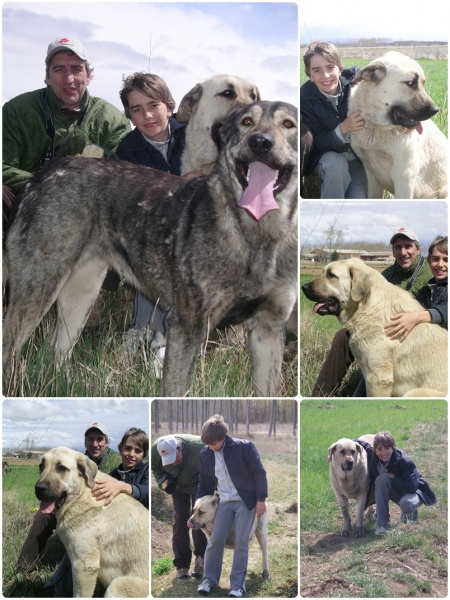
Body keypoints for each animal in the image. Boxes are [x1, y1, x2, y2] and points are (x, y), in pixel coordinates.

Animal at [35, 448, 148, 596]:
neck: (82, 494)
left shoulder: (84, 566)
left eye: (61, 468)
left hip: (118, 586)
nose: (38, 488)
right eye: (41, 466)